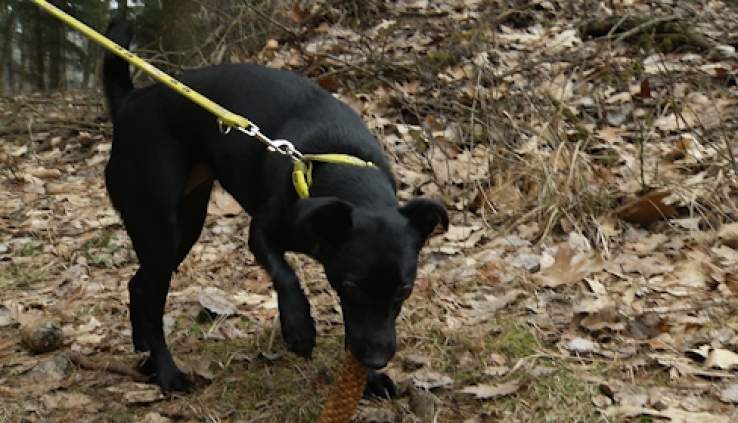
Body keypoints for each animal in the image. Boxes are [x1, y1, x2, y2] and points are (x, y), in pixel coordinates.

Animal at [100, 19, 446, 398]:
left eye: (404, 290)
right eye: (353, 287)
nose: (377, 359)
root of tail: (131, 101)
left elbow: (353, 326)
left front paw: (367, 379)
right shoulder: (262, 233)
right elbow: (286, 274)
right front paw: (299, 327)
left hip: (185, 226)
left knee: (138, 285)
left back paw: (143, 349)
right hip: (160, 228)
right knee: (151, 298)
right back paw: (167, 372)